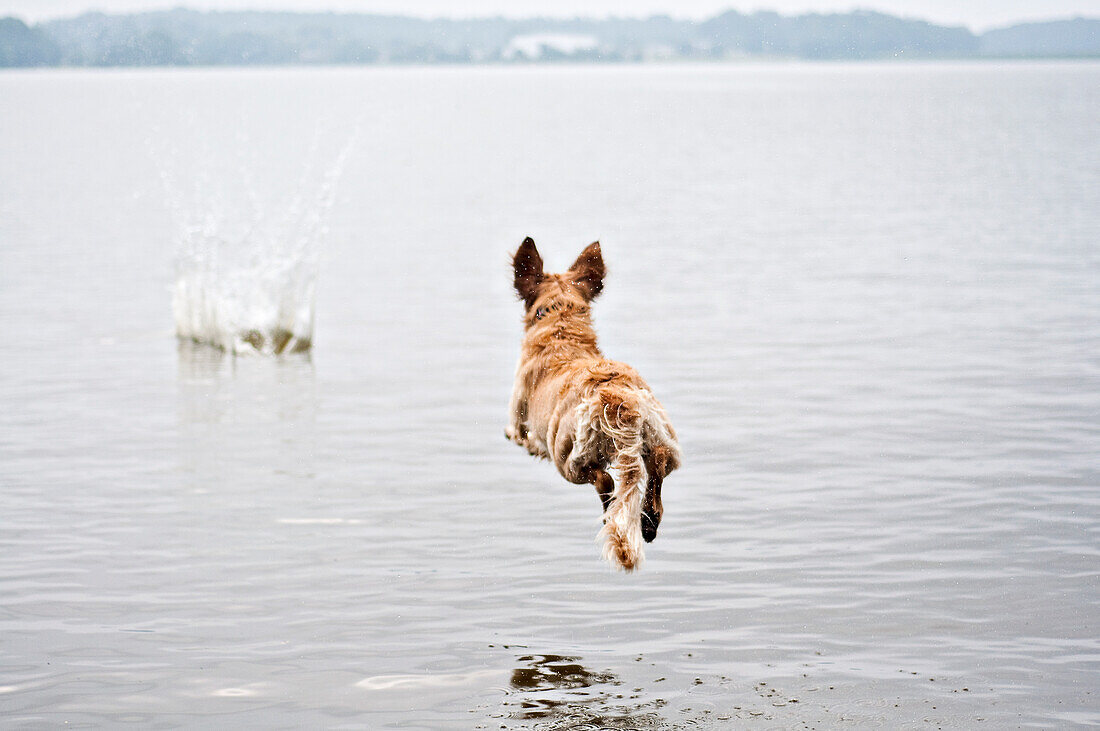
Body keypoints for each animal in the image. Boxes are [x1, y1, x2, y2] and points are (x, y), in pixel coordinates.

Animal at [506, 239, 677, 571]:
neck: (561, 325)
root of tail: (618, 400)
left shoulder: (519, 416)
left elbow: (518, 434)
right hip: (659, 432)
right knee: (659, 462)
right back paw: (649, 521)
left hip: (567, 457)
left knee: (603, 479)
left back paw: (611, 513)